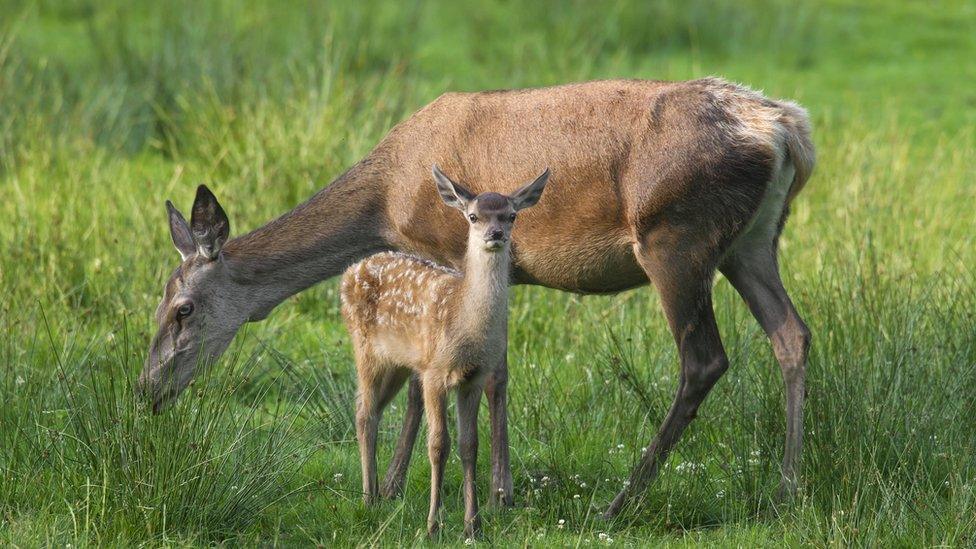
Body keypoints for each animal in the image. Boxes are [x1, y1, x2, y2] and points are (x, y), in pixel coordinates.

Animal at [141, 78, 812, 520]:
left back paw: (620, 501)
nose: (147, 388)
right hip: (752, 240)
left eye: (183, 309)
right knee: (792, 333)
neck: (386, 203)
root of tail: (788, 131)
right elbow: (499, 373)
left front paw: (394, 488)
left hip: (675, 236)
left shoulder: (442, 249)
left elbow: (423, 384)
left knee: (704, 359)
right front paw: (500, 491)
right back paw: (786, 489)